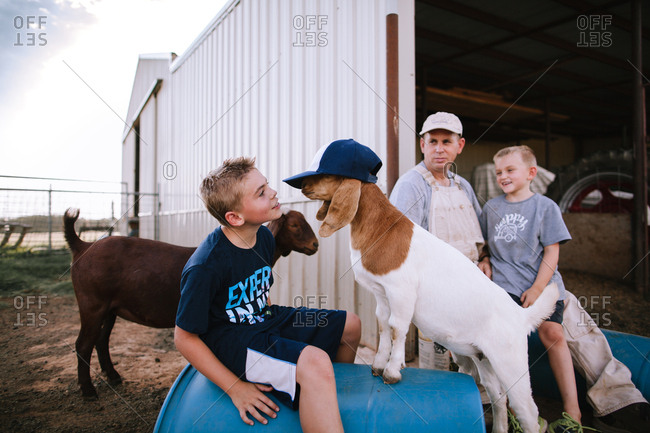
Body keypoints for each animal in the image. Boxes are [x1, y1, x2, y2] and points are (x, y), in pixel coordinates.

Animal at [64, 208, 318, 396]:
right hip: (92, 303)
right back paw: (88, 391)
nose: (315, 244)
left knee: (101, 340)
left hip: (109, 308)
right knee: (83, 344)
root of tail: (82, 246)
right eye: (294, 225)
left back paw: (114, 377)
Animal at [298, 175, 556, 432]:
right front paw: (378, 366)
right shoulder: (382, 293)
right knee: (499, 397)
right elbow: (383, 325)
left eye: (330, 175)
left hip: (509, 360)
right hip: (484, 359)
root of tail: (521, 315)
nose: (304, 187)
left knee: (526, 410)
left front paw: (392, 372)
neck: (383, 228)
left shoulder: (401, 290)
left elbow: (397, 327)